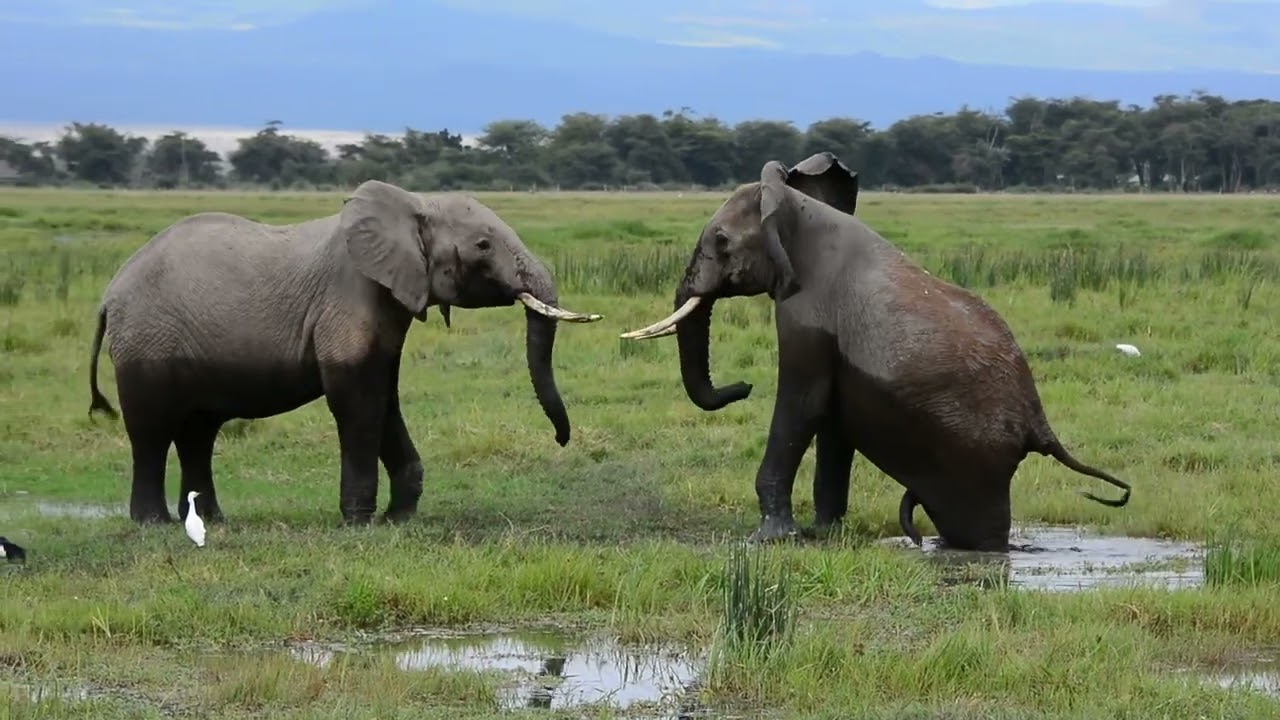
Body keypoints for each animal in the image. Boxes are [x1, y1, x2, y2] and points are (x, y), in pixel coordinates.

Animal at [87, 179, 602, 526]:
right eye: (482, 245)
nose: (561, 441)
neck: (412, 206)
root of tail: (109, 294)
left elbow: (384, 396)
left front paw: (397, 518)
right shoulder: (350, 296)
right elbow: (357, 399)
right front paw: (359, 521)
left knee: (198, 432)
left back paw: (213, 521)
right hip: (146, 341)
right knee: (151, 431)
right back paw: (153, 523)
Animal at [619, 152, 1131, 551]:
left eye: (722, 241)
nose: (741, 387)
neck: (794, 209)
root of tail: (1038, 422)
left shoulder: (806, 317)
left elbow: (801, 406)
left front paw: (770, 540)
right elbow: (830, 419)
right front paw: (822, 533)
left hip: (974, 460)